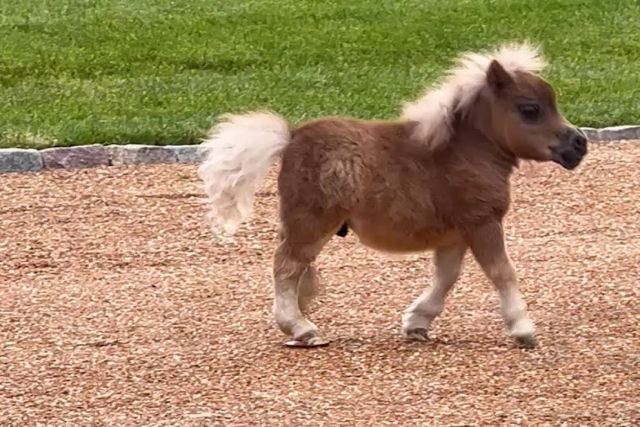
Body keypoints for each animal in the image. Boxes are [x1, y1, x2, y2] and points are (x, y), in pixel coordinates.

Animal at [197, 43, 588, 349]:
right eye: (530, 109)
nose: (578, 144)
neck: (462, 153)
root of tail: (290, 137)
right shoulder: (482, 223)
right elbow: (502, 272)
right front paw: (523, 329)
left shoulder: (455, 234)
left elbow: (446, 277)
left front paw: (417, 322)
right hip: (311, 223)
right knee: (286, 266)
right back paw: (301, 328)